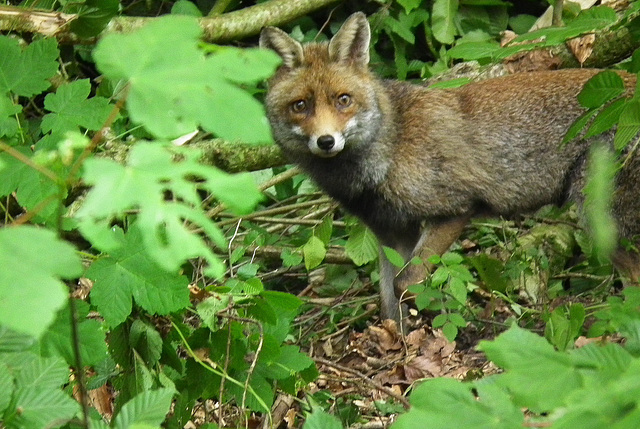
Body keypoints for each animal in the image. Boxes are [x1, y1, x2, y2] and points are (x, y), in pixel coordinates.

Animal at [260, 11, 640, 322]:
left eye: (343, 100)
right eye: (300, 106)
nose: (326, 141)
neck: (390, 145)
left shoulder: (454, 210)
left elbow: (405, 284)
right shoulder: (391, 233)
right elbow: (388, 304)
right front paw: (396, 348)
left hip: (602, 218)